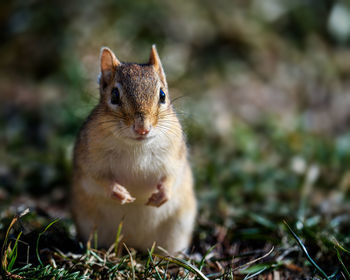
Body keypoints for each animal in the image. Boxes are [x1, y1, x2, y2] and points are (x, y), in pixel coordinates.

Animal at [71, 44, 197, 254]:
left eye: (162, 95)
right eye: (114, 95)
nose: (142, 128)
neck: (137, 146)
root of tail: (133, 244)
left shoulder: (175, 157)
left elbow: (172, 176)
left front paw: (162, 195)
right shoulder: (89, 161)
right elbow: (98, 178)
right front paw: (119, 193)